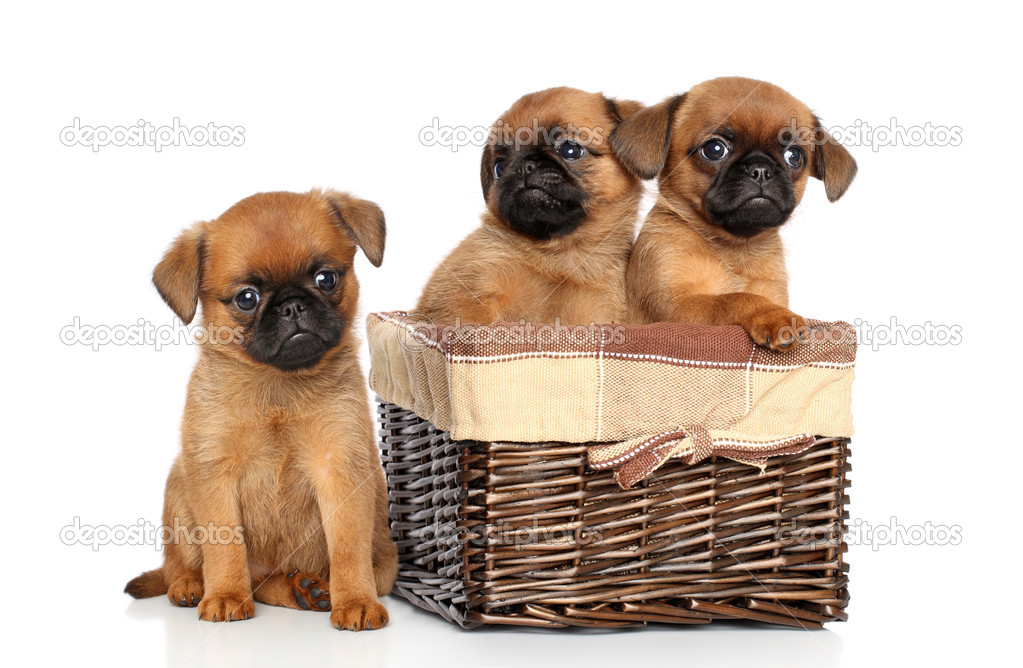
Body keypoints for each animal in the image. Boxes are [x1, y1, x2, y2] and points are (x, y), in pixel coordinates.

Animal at [125, 187, 396, 630]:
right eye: (246, 299)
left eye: (326, 278)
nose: (292, 306)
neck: (277, 388)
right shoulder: (214, 475)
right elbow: (224, 547)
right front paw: (225, 595)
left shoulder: (340, 469)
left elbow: (347, 549)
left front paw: (356, 600)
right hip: (179, 487)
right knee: (180, 565)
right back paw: (192, 585)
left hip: (385, 558)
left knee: (271, 583)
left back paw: (309, 588)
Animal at [609, 76, 859, 349]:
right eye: (714, 150)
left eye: (794, 155)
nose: (761, 170)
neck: (735, 249)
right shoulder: (674, 308)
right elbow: (733, 299)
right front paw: (771, 315)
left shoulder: (772, 290)